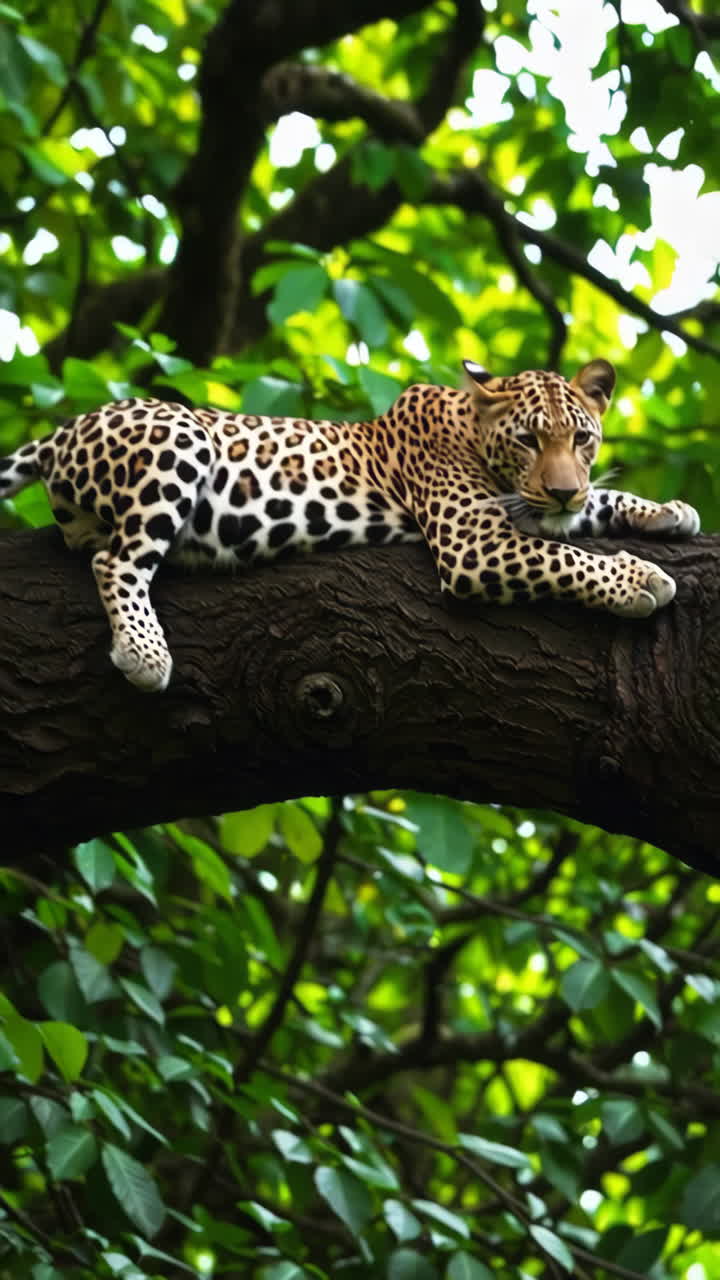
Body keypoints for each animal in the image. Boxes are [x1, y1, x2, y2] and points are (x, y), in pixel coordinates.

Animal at [0, 357, 700, 693]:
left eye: (581, 439)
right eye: (528, 439)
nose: (561, 488)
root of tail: (62, 432)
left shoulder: (538, 508)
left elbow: (595, 506)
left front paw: (669, 511)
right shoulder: (472, 541)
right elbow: (565, 557)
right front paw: (638, 579)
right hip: (179, 436)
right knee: (117, 559)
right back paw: (146, 653)